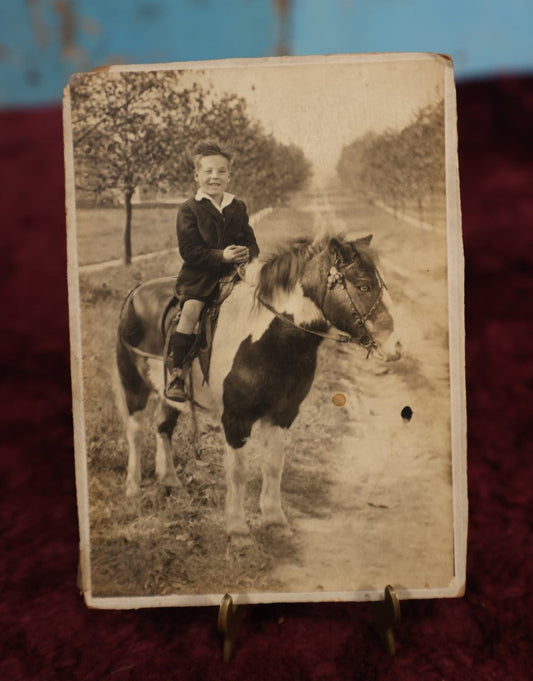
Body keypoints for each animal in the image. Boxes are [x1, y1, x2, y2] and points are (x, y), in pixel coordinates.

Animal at [114, 234, 402, 536]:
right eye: (363, 286)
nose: (396, 346)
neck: (269, 339)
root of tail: (136, 291)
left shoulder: (282, 415)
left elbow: (273, 465)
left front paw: (275, 518)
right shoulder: (235, 419)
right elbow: (238, 470)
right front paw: (237, 527)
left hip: (171, 394)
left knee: (163, 426)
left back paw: (169, 479)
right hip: (132, 384)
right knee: (135, 431)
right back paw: (133, 488)